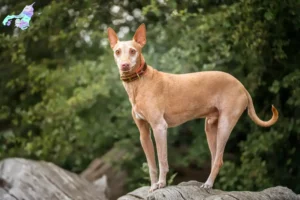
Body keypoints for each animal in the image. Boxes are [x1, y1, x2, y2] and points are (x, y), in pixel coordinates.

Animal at [106, 23, 278, 192]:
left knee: (219, 160)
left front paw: (161, 183)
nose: (124, 65)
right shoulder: (144, 133)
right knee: (215, 157)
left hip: (225, 124)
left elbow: (162, 160)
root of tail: (241, 86)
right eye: (117, 52)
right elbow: (151, 165)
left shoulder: (159, 127)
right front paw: (153, 186)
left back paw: (207, 184)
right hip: (210, 127)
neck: (139, 83)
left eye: (133, 51)